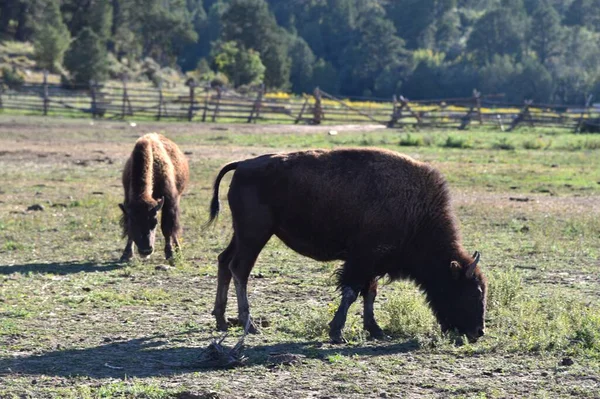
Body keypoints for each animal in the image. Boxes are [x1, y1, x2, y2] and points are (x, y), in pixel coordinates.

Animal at [119, 134, 189, 262]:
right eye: (133, 221)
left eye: (154, 222)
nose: (145, 250)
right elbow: (128, 231)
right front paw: (126, 254)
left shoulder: (168, 201)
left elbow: (167, 228)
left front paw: (170, 254)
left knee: (174, 227)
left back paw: (178, 251)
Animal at [206, 148, 488, 342]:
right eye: (472, 292)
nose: (478, 331)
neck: (415, 211)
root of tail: (242, 165)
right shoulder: (362, 260)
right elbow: (352, 292)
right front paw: (337, 332)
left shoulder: (373, 263)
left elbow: (369, 293)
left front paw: (376, 330)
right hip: (255, 235)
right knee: (240, 270)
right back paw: (249, 324)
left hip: (243, 235)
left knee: (224, 261)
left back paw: (221, 320)